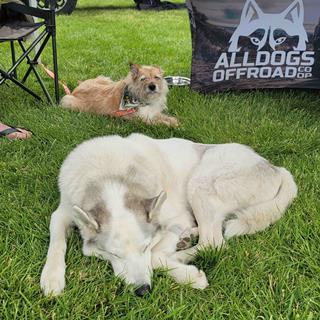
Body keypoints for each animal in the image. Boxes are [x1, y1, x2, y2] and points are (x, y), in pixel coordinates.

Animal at [40, 132, 298, 296]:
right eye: (114, 254)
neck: (109, 175)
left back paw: (183, 253)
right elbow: (57, 241)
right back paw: (187, 239)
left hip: (200, 182)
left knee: (214, 243)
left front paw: (189, 275)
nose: (143, 291)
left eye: (144, 247)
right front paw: (52, 277)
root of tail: (276, 168)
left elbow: (155, 256)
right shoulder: (62, 212)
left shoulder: (174, 220)